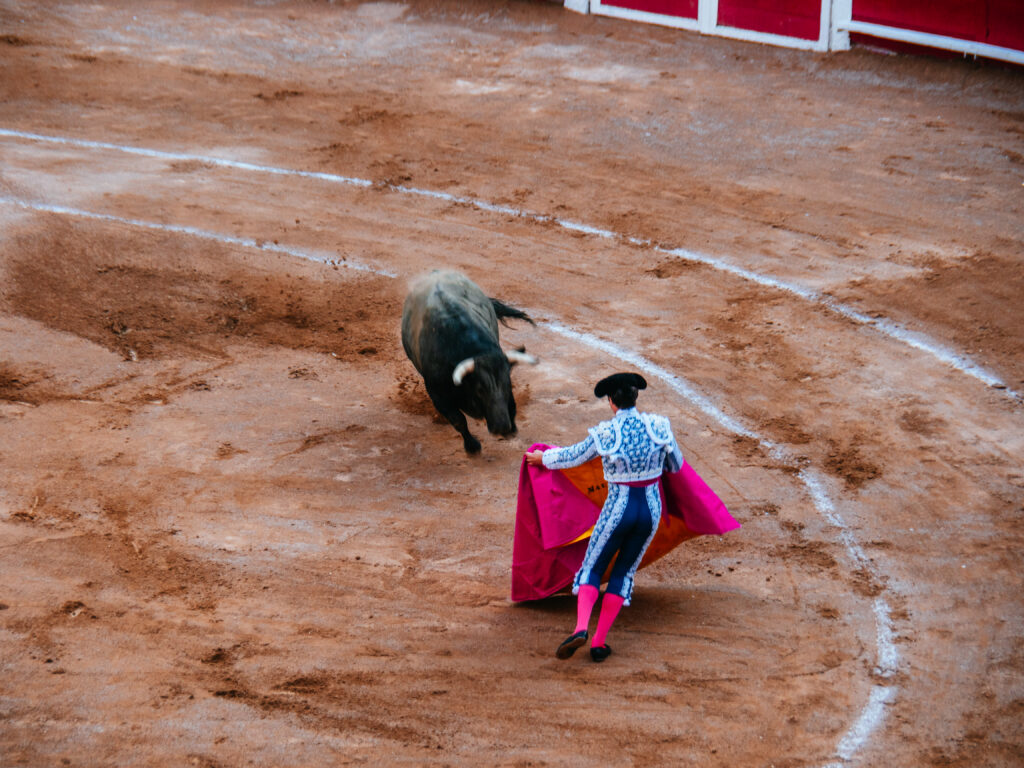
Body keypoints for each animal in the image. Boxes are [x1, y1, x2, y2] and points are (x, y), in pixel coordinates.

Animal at [401, 272, 540, 454]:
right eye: (480, 389)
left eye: (507, 384)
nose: (502, 427)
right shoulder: (436, 393)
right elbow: (458, 420)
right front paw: (472, 446)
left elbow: (512, 404)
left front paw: (513, 428)